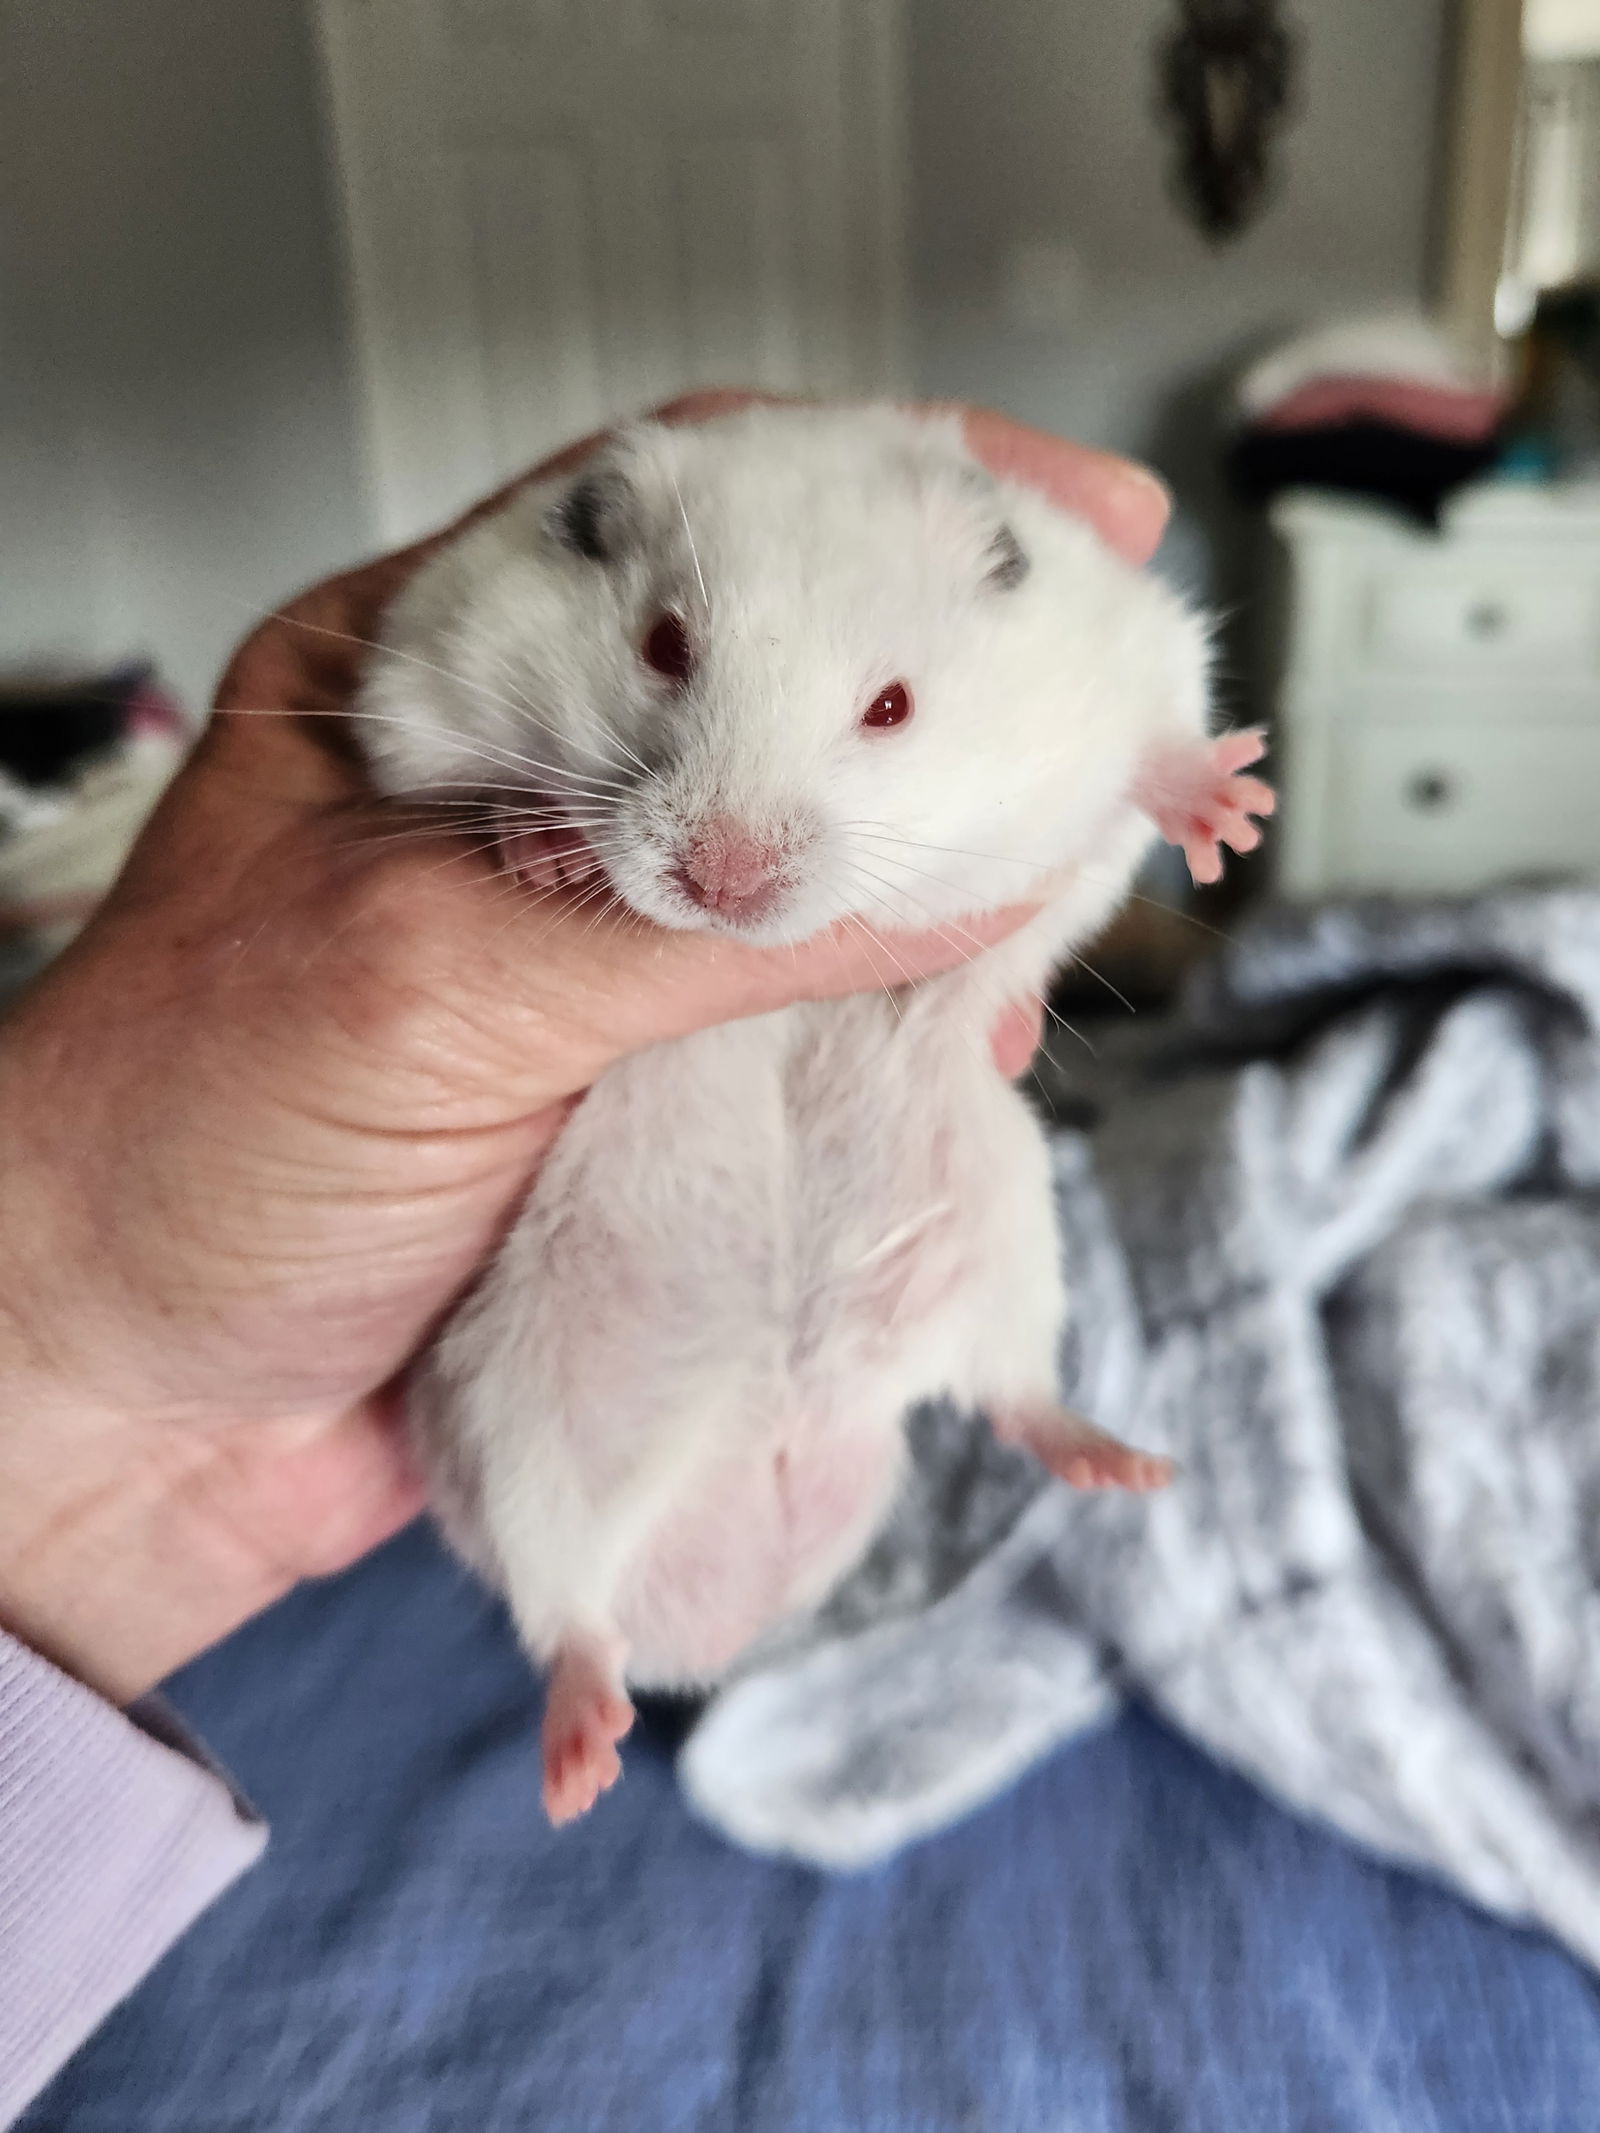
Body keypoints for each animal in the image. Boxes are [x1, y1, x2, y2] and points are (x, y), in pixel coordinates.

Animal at [362, 407, 1280, 1825]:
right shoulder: (417, 681)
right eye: (662, 646)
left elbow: (1155, 746)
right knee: (564, 1601)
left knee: (1015, 1393)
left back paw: (1125, 1466)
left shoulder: (1135, 653)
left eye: (890, 706)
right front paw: (539, 846)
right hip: (517, 1405)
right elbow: (448, 781)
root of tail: (790, 1429)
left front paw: (1233, 810)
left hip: (1003, 1226)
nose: (724, 883)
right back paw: (579, 1765)